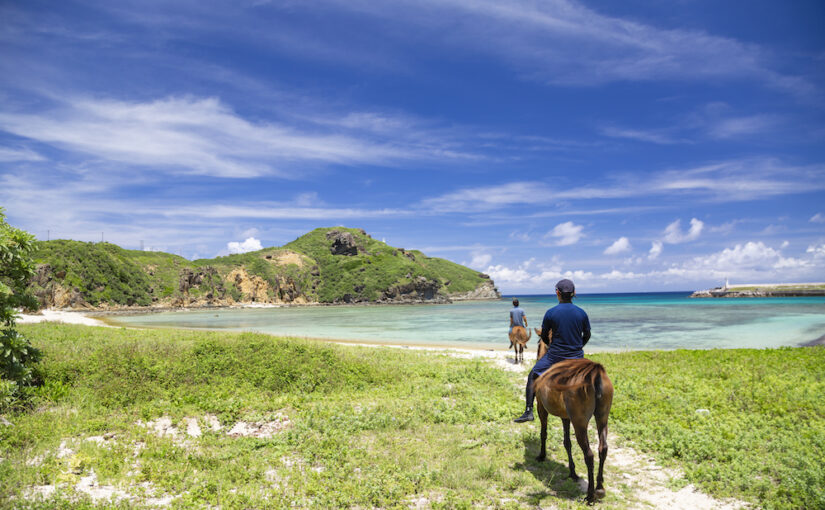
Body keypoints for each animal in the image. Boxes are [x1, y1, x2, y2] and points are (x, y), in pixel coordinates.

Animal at [536, 356, 612, 504]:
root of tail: (595, 374)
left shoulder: (541, 407)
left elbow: (544, 433)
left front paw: (542, 455)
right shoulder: (566, 417)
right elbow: (567, 443)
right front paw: (572, 472)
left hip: (579, 424)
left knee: (589, 455)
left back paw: (590, 495)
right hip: (602, 418)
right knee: (603, 448)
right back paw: (599, 488)